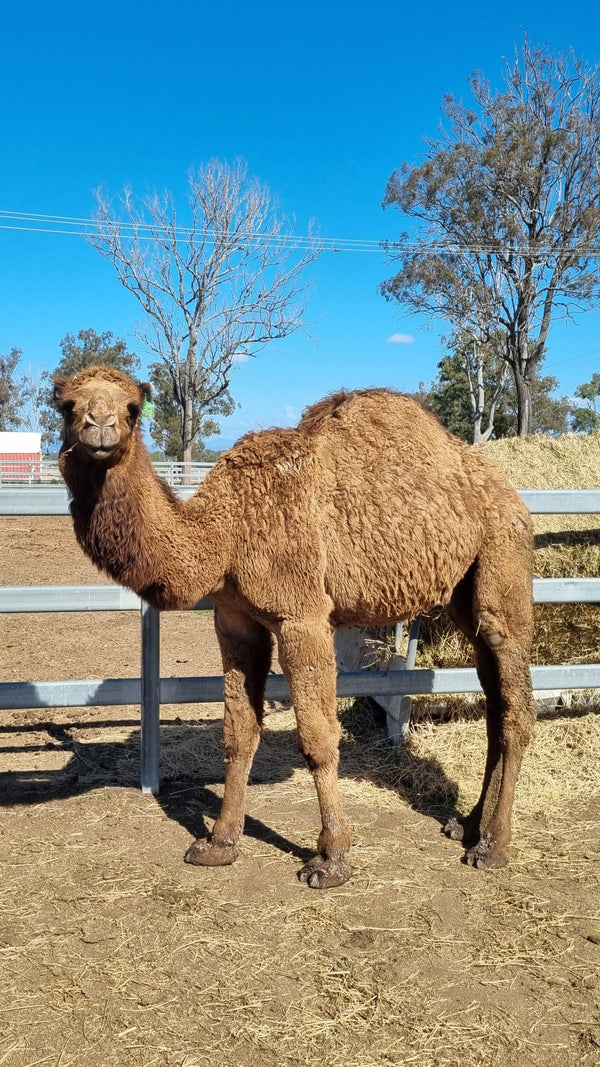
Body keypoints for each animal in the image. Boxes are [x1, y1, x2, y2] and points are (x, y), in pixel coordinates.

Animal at [54, 365, 536, 889]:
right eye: (67, 405)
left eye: (132, 409)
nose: (100, 427)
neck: (226, 531)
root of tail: (513, 497)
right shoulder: (235, 620)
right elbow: (239, 731)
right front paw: (218, 843)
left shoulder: (302, 617)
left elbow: (319, 739)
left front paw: (331, 859)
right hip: (464, 596)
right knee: (494, 701)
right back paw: (467, 824)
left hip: (502, 560)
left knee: (515, 704)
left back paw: (493, 846)